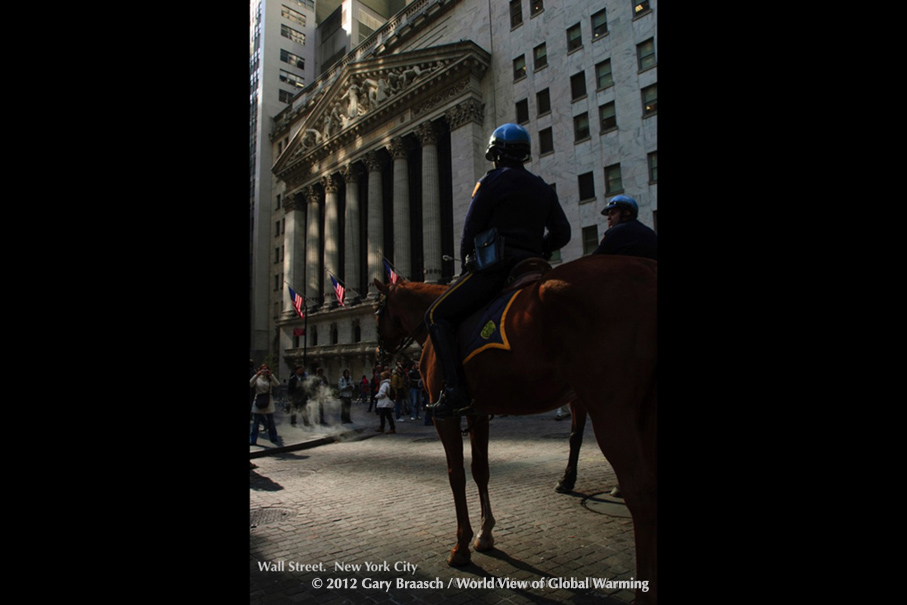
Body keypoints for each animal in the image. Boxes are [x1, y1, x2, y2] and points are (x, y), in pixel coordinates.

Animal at [372, 256, 656, 604]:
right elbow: (481, 470)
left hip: (611, 409)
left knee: (640, 492)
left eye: (377, 311)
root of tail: (646, 268)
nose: (379, 354)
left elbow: (456, 475)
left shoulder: (445, 416)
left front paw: (462, 546)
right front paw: (485, 534)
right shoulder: (477, 412)